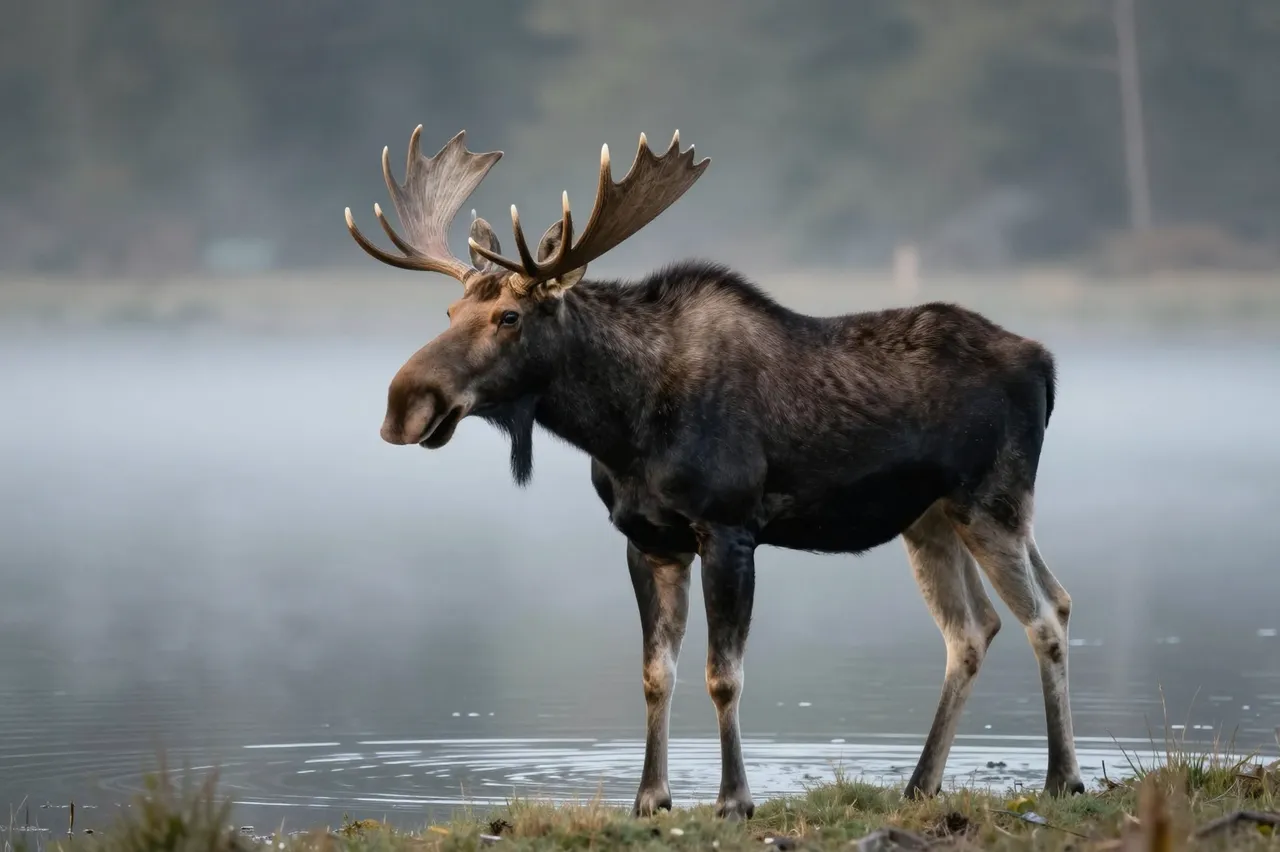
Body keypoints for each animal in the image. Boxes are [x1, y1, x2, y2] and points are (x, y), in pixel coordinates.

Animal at [344, 125, 1086, 820]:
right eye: (448, 311)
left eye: (509, 316)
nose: (405, 404)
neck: (622, 425)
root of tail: (1045, 363)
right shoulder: (649, 539)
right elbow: (656, 674)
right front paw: (650, 798)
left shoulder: (728, 528)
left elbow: (722, 675)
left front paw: (734, 799)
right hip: (931, 518)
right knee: (982, 627)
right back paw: (920, 783)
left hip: (991, 501)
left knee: (1043, 619)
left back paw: (1063, 778)